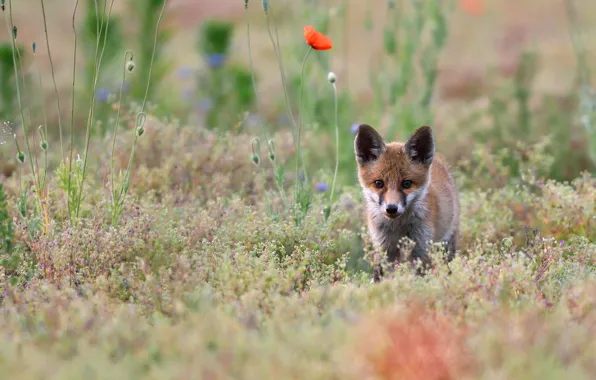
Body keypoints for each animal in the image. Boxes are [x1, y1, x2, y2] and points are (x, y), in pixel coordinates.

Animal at [354, 123, 460, 280]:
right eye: (379, 183)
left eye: (406, 183)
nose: (391, 208)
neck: (398, 227)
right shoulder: (384, 248)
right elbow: (381, 276)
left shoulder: (422, 248)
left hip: (446, 244)